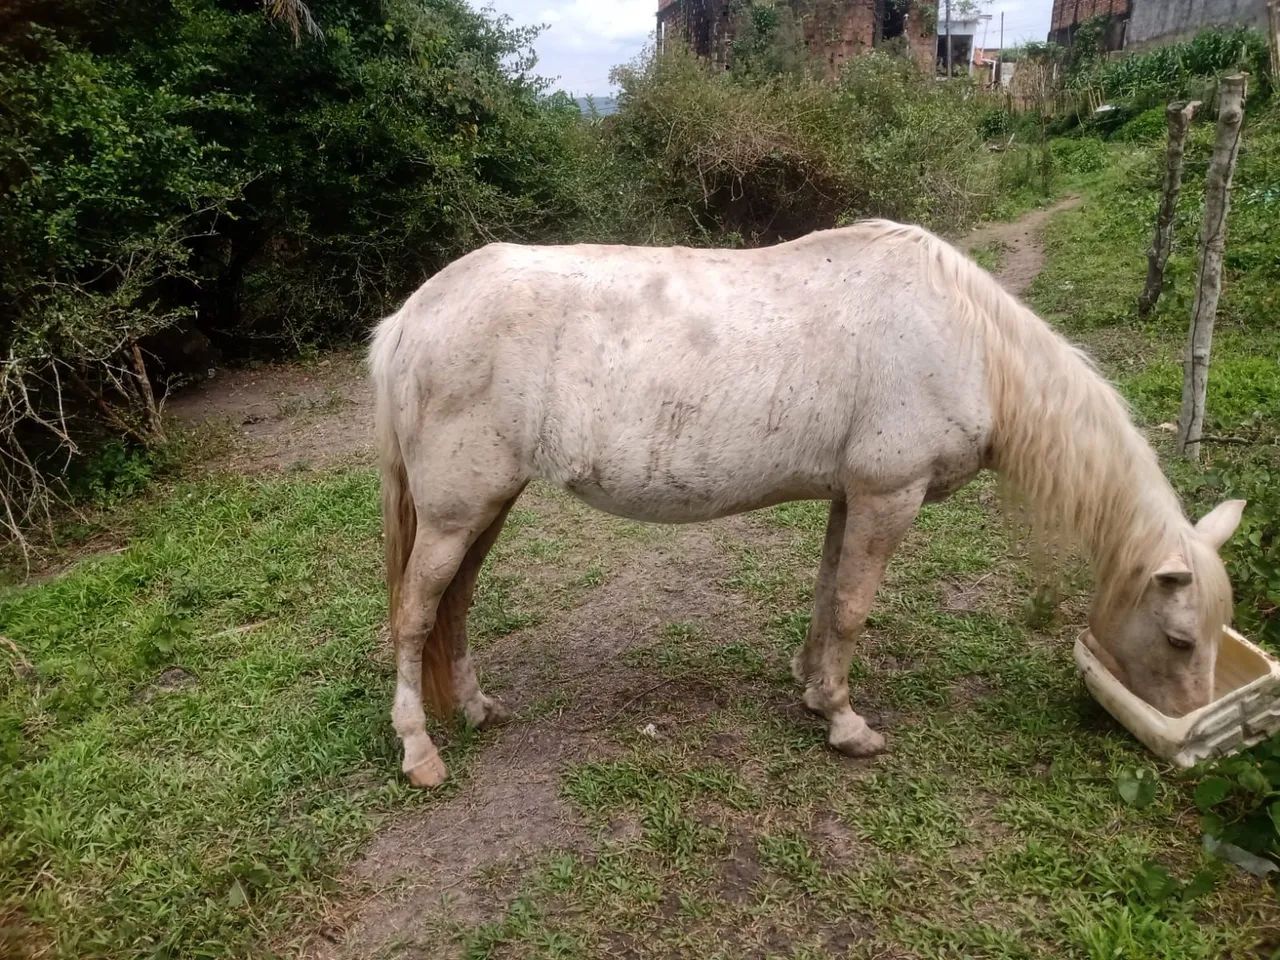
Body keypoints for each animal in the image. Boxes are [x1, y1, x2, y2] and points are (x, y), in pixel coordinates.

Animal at [368, 220, 1244, 788]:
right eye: (1178, 638)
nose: (1190, 732)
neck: (967, 340)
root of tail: (412, 314)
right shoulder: (891, 495)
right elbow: (854, 608)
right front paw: (847, 725)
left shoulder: (852, 496)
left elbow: (828, 596)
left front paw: (813, 687)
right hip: (455, 512)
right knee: (415, 615)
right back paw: (419, 751)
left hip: (485, 506)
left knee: (455, 605)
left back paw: (475, 708)